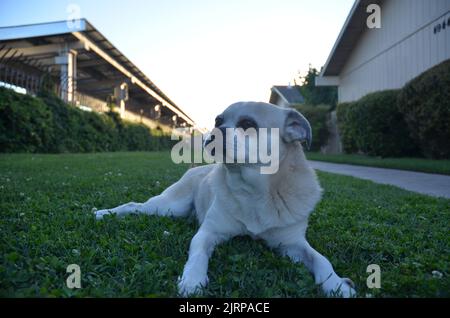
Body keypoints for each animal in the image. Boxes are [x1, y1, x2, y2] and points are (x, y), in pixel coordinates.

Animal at [95, 102, 356, 298]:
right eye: (218, 120)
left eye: (248, 124)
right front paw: (192, 279)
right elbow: (198, 254)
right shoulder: (208, 232)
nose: (215, 131)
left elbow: (321, 260)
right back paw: (104, 213)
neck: (254, 190)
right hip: (168, 207)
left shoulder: (293, 244)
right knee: (135, 206)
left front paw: (337, 285)